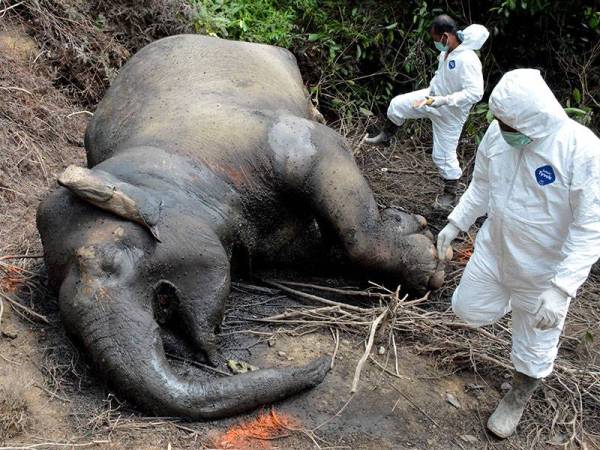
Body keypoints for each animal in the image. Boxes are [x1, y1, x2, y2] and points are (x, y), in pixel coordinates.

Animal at [35, 34, 442, 418]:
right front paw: (414, 231)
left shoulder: (275, 141)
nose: (324, 365)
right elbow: (312, 247)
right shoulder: (268, 235)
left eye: (105, 261)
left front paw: (431, 261)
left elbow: (335, 183)